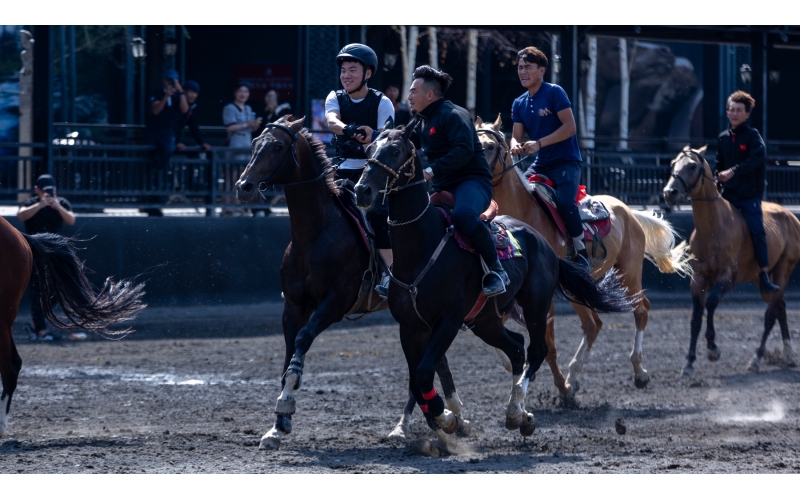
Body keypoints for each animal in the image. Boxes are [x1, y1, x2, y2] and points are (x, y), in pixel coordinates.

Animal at [472, 113, 692, 398]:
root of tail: (629, 211)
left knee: (641, 309)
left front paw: (561, 389)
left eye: (489, 146)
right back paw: (574, 376)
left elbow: (548, 346)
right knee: (593, 324)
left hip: (628, 274)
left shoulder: (544, 297)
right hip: (579, 287)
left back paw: (639, 373)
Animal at [664, 147, 800, 376]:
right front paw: (689, 362)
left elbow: (711, 303)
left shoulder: (727, 278)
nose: (669, 192)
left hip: (783, 270)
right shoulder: (698, 279)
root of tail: (791, 217)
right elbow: (696, 317)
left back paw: (757, 358)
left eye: (692, 166)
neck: (713, 227)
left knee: (771, 314)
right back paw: (788, 355)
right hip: (761, 280)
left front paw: (712, 348)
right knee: (779, 307)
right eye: (674, 163)